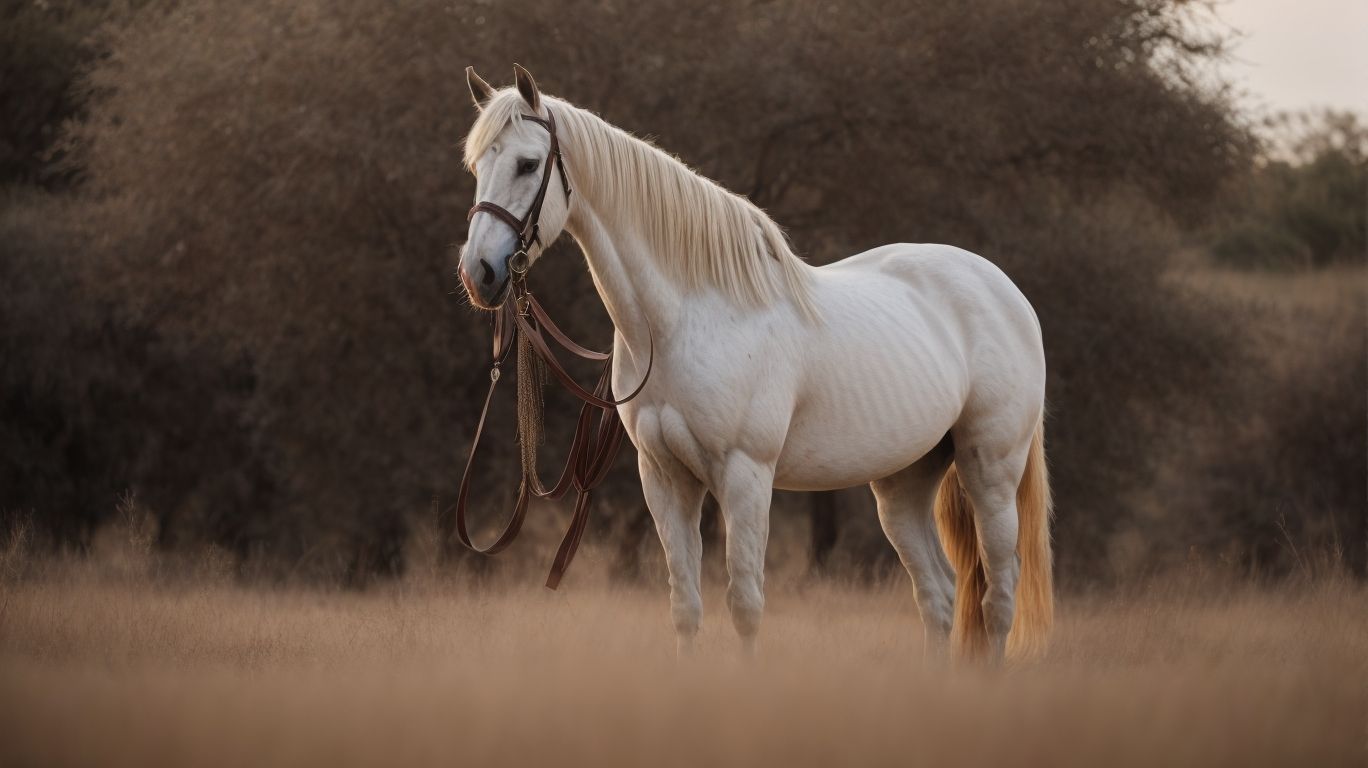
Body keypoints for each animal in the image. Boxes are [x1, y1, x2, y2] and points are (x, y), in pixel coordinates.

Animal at [457, 65, 1053, 664]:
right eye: (478, 165)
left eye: (528, 163)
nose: (479, 273)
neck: (687, 317)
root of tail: (1004, 291)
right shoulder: (664, 478)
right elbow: (686, 607)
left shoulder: (745, 475)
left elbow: (745, 604)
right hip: (903, 483)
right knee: (939, 594)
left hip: (989, 468)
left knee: (998, 596)